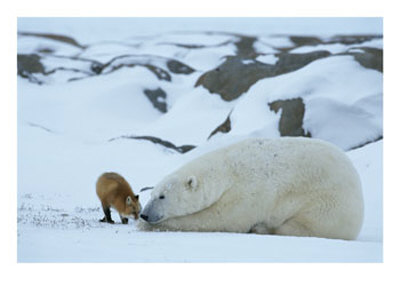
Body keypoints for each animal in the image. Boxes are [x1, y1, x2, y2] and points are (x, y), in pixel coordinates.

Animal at [139, 137, 364, 239]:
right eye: (151, 194)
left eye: (162, 196)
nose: (144, 214)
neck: (227, 171)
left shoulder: (248, 194)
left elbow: (220, 218)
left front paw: (147, 226)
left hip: (327, 204)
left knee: (301, 226)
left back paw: (262, 228)